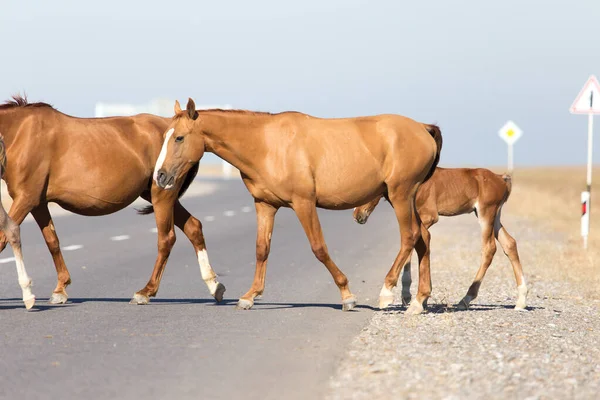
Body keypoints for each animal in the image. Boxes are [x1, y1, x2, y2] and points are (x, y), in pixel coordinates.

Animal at [0, 95, 224, 304]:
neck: (21, 133)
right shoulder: (38, 203)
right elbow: (52, 241)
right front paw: (60, 289)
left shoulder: (26, 199)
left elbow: (5, 238)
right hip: (160, 194)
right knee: (193, 228)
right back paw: (214, 285)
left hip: (162, 194)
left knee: (166, 238)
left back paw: (146, 292)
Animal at [150, 98, 440, 314]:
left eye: (179, 138)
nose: (160, 177)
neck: (267, 145)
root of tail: (422, 128)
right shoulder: (265, 205)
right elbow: (261, 249)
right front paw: (250, 296)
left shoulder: (304, 203)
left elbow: (319, 248)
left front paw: (346, 294)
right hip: (399, 196)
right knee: (423, 237)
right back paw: (419, 301)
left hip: (400, 194)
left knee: (410, 236)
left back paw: (387, 292)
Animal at [354, 167, 528, 310]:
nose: (357, 215)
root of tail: (501, 178)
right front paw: (415, 298)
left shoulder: (428, 216)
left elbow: (414, 243)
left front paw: (408, 296)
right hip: (494, 216)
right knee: (510, 243)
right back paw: (521, 300)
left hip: (486, 213)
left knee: (489, 248)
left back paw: (466, 299)